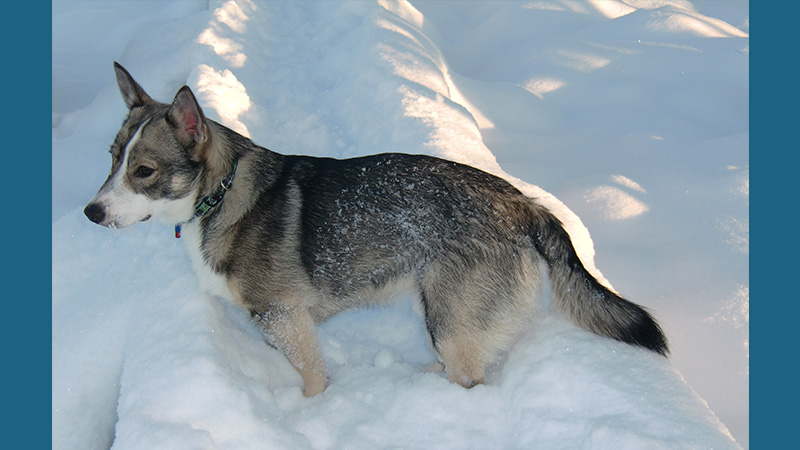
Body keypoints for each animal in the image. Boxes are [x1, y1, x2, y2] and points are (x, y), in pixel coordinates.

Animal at [84, 64, 664, 398]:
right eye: (112, 158)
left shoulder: (282, 317)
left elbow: (314, 380)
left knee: (470, 378)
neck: (221, 191)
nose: (90, 212)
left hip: (447, 320)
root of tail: (522, 202)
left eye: (144, 171)